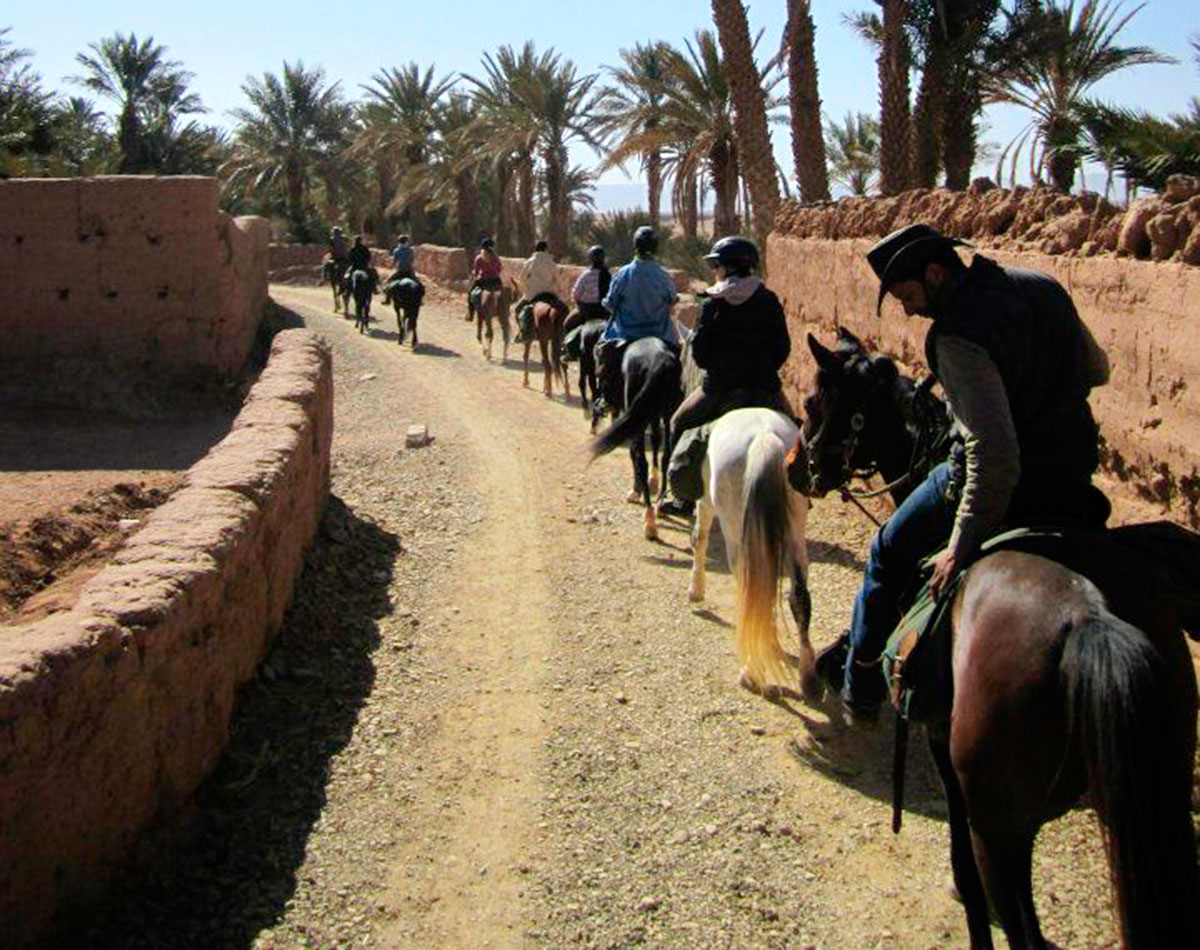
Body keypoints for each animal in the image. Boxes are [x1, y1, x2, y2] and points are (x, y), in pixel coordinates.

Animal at [592, 338, 686, 537]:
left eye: (601, 367)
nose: (603, 403)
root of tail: (662, 361)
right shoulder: (653, 415)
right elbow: (656, 443)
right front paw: (653, 481)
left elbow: (634, 453)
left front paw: (636, 491)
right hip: (669, 413)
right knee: (666, 456)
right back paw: (659, 503)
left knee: (642, 460)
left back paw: (650, 520)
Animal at [686, 405, 816, 700]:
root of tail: (765, 438)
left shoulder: (705, 500)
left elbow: (699, 538)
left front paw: (696, 590)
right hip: (794, 531)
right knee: (798, 595)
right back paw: (808, 675)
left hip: (736, 533)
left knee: (750, 586)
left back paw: (752, 672)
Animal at [801, 328, 1195, 950]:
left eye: (816, 402)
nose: (799, 470)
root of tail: (1091, 617)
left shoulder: (942, 742)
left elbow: (963, 864)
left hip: (1001, 817)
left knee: (1019, 916)